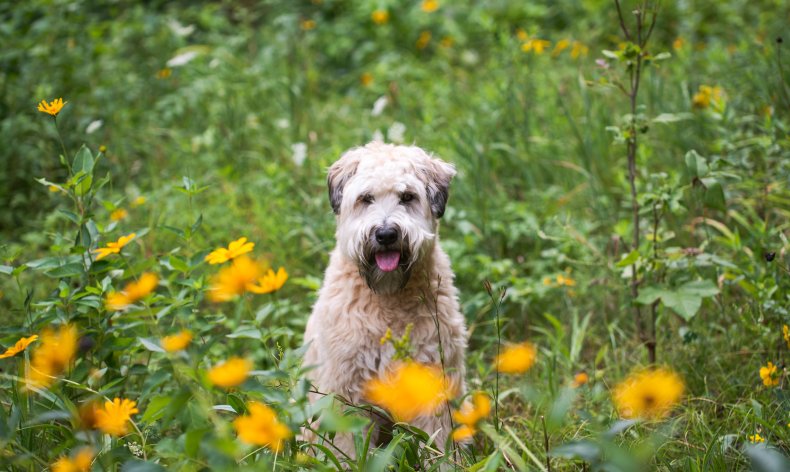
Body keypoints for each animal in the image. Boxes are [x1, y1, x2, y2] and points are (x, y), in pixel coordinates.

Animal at [304, 142, 470, 460]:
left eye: (407, 197)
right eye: (366, 198)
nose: (385, 234)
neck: (388, 301)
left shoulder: (432, 381)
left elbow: (437, 441)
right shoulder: (346, 389)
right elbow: (347, 447)